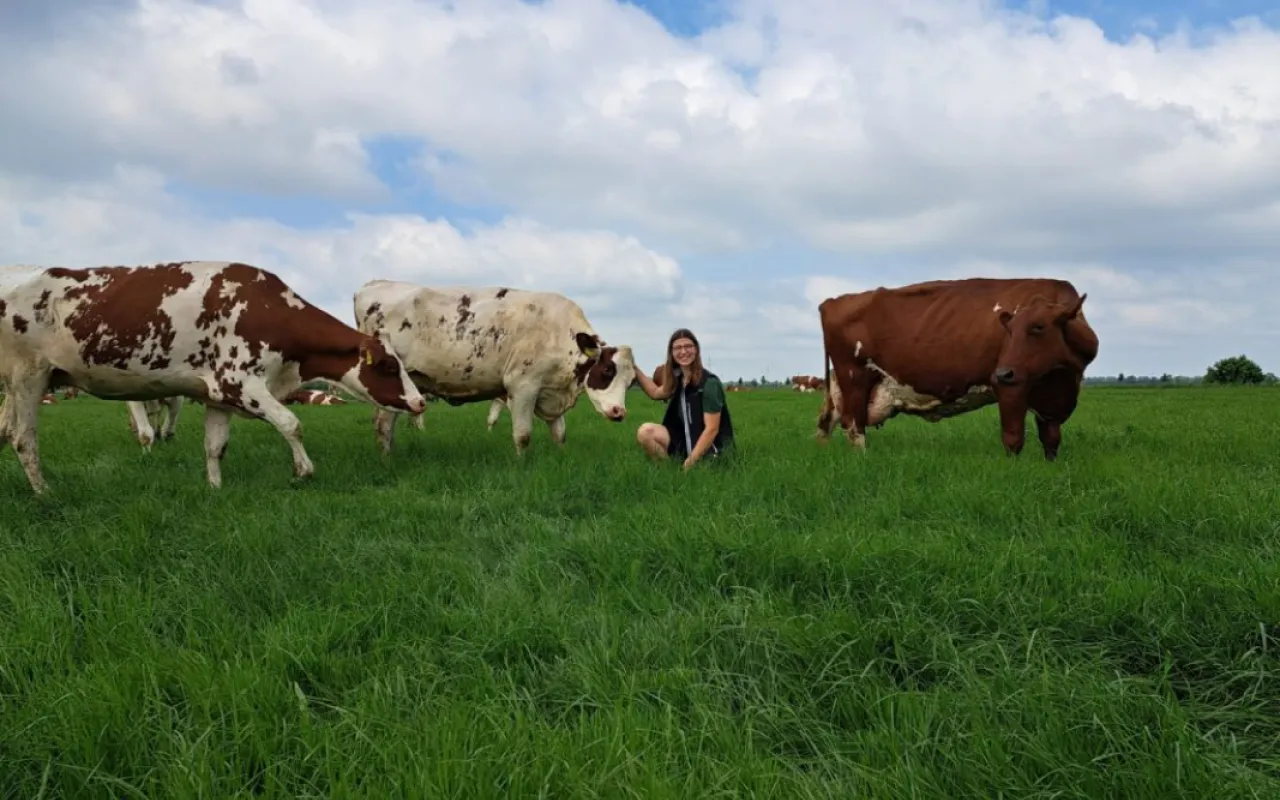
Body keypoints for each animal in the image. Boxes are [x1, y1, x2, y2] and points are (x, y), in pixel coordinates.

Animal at [0, 261, 430, 494]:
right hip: (28, 376)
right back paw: (43, 492)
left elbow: (214, 447)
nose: (419, 401)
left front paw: (214, 488)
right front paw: (302, 472)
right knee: (23, 438)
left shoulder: (217, 395)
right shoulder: (243, 383)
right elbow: (291, 423)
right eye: (388, 366)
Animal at [353, 280, 637, 455]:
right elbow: (523, 434)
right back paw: (387, 460)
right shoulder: (522, 387)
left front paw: (561, 457)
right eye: (607, 371)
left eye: (630, 381)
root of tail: (373, 285)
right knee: (383, 425)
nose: (619, 412)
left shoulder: (550, 389)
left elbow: (559, 433)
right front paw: (522, 464)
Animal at [819, 276, 1100, 458]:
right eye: (1008, 329)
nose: (1003, 372)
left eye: (1038, 327)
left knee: (827, 421)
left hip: (841, 384)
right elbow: (1013, 439)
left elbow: (1051, 439)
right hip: (854, 377)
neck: (1060, 376)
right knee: (854, 426)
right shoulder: (1010, 387)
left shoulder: (1053, 397)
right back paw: (863, 459)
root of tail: (831, 301)